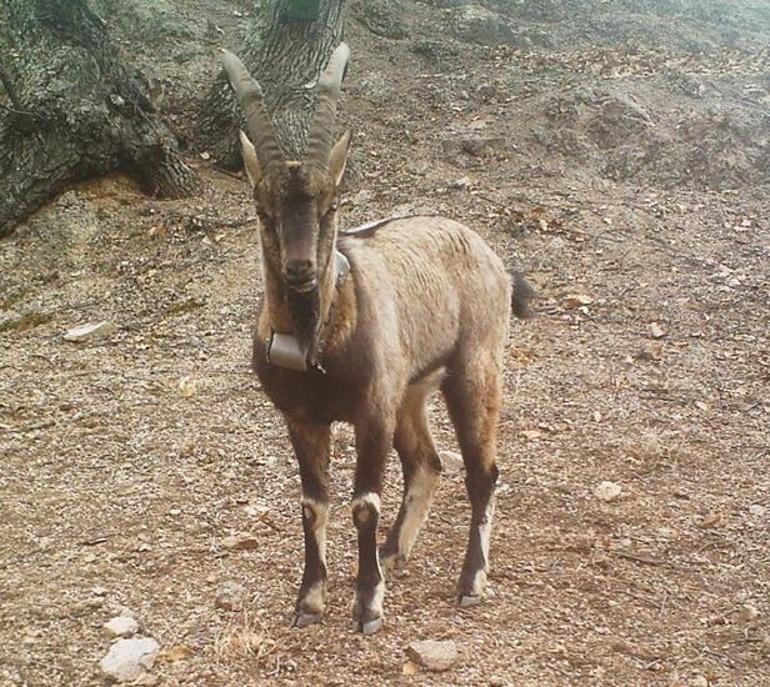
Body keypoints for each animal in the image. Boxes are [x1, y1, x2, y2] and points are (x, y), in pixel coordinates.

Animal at [222, 41, 528, 636]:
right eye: (262, 211)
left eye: (332, 206)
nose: (299, 270)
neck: (318, 346)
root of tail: (493, 260)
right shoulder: (303, 418)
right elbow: (313, 503)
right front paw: (310, 599)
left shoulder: (370, 412)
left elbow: (364, 502)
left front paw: (367, 606)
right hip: (409, 390)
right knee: (428, 462)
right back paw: (392, 552)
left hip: (474, 368)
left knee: (484, 472)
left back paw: (470, 581)